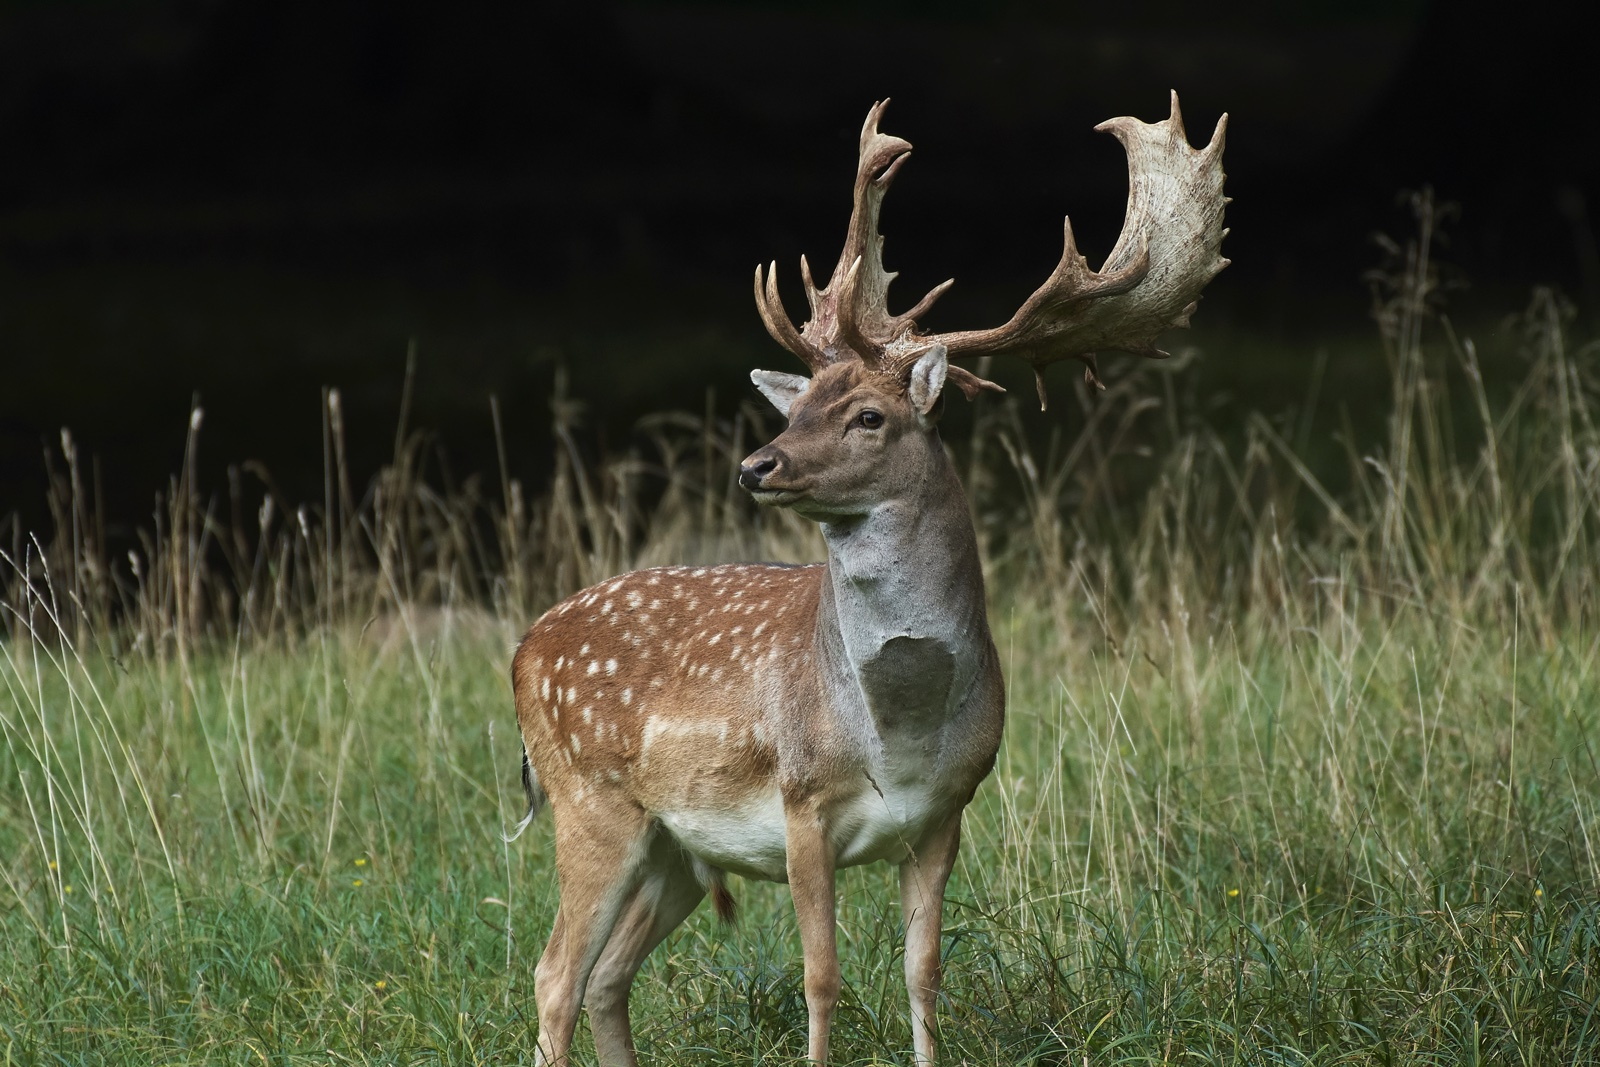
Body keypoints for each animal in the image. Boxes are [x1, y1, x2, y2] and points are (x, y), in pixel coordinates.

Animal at [510, 93, 1228, 1066]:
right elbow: (823, 979)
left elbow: (923, 974)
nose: (757, 465)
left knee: (604, 977)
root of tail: (523, 646)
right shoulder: (802, 801)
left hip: (674, 847)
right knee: (553, 975)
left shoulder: (946, 813)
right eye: (800, 405)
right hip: (590, 800)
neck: (899, 730)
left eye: (867, 416)